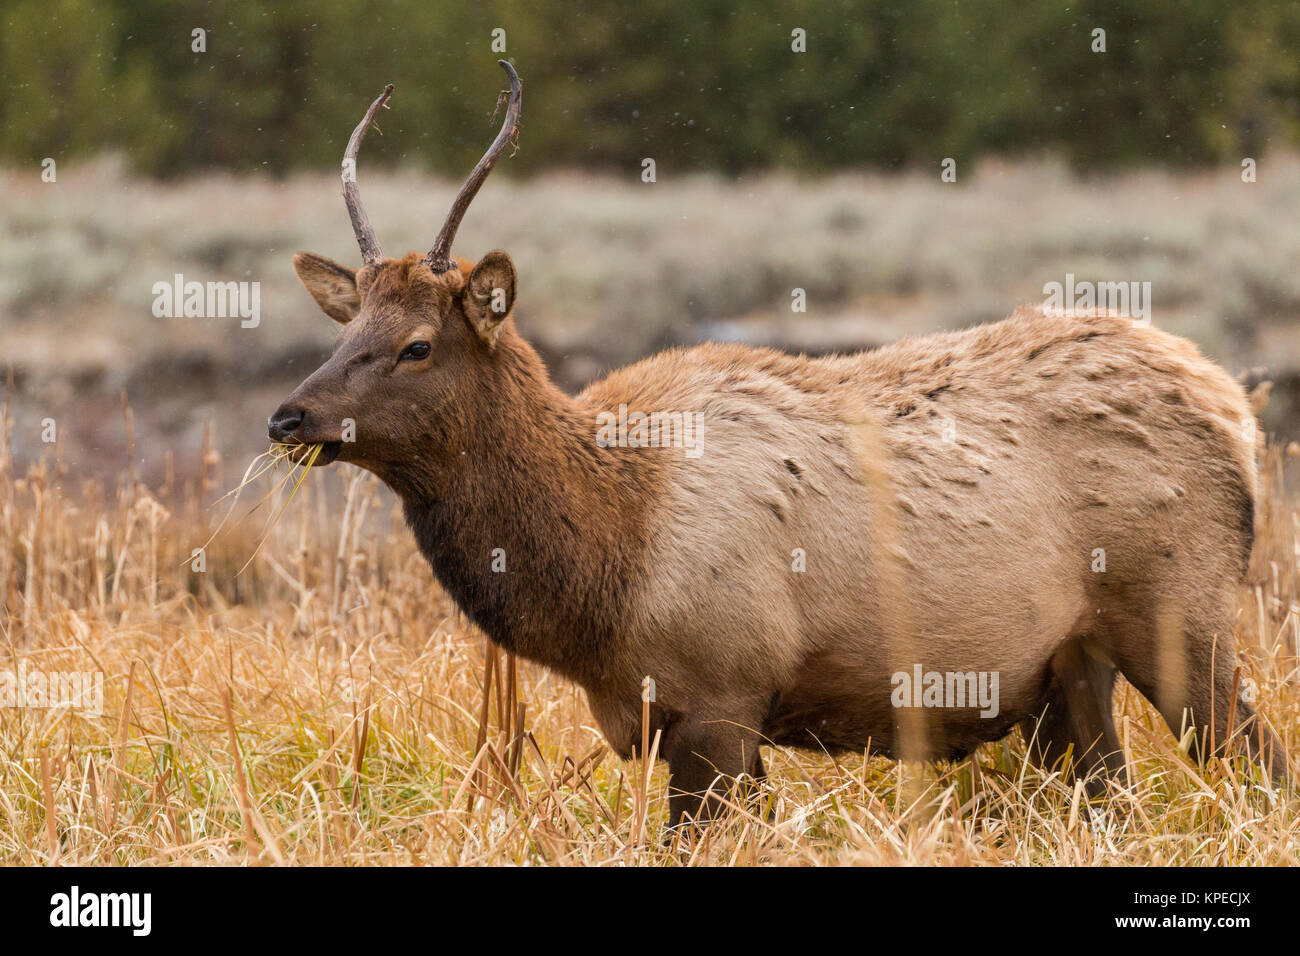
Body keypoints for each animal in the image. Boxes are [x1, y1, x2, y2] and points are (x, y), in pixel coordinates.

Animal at [269, 59, 1284, 827]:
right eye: (344, 329)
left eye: (416, 345)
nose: (288, 418)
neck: (607, 557)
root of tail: (1235, 411)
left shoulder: (722, 693)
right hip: (1067, 674)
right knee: (1119, 796)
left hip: (1180, 615)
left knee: (1260, 763)